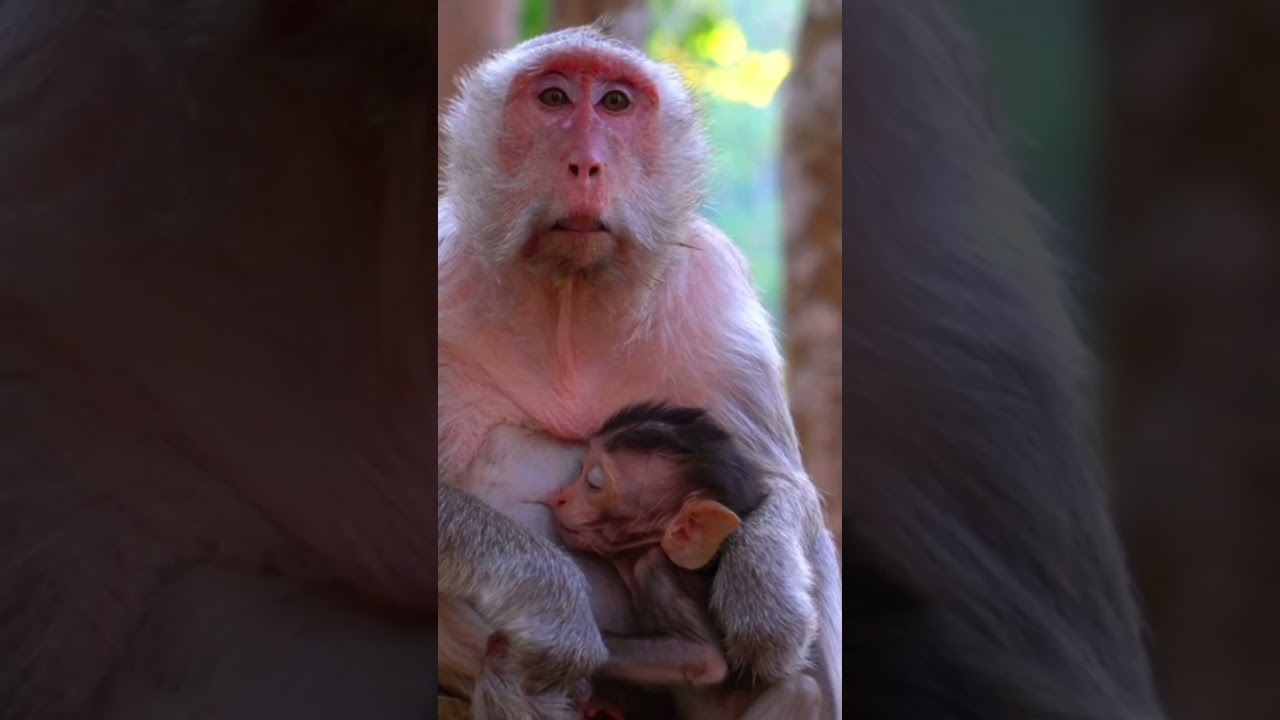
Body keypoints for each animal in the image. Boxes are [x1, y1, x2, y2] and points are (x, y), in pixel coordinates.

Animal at [437, 19, 842, 719]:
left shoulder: (713, 294)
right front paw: (553, 606)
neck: (569, 298)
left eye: (616, 104)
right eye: (553, 98)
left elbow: (780, 483)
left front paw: (763, 599)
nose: (586, 163)